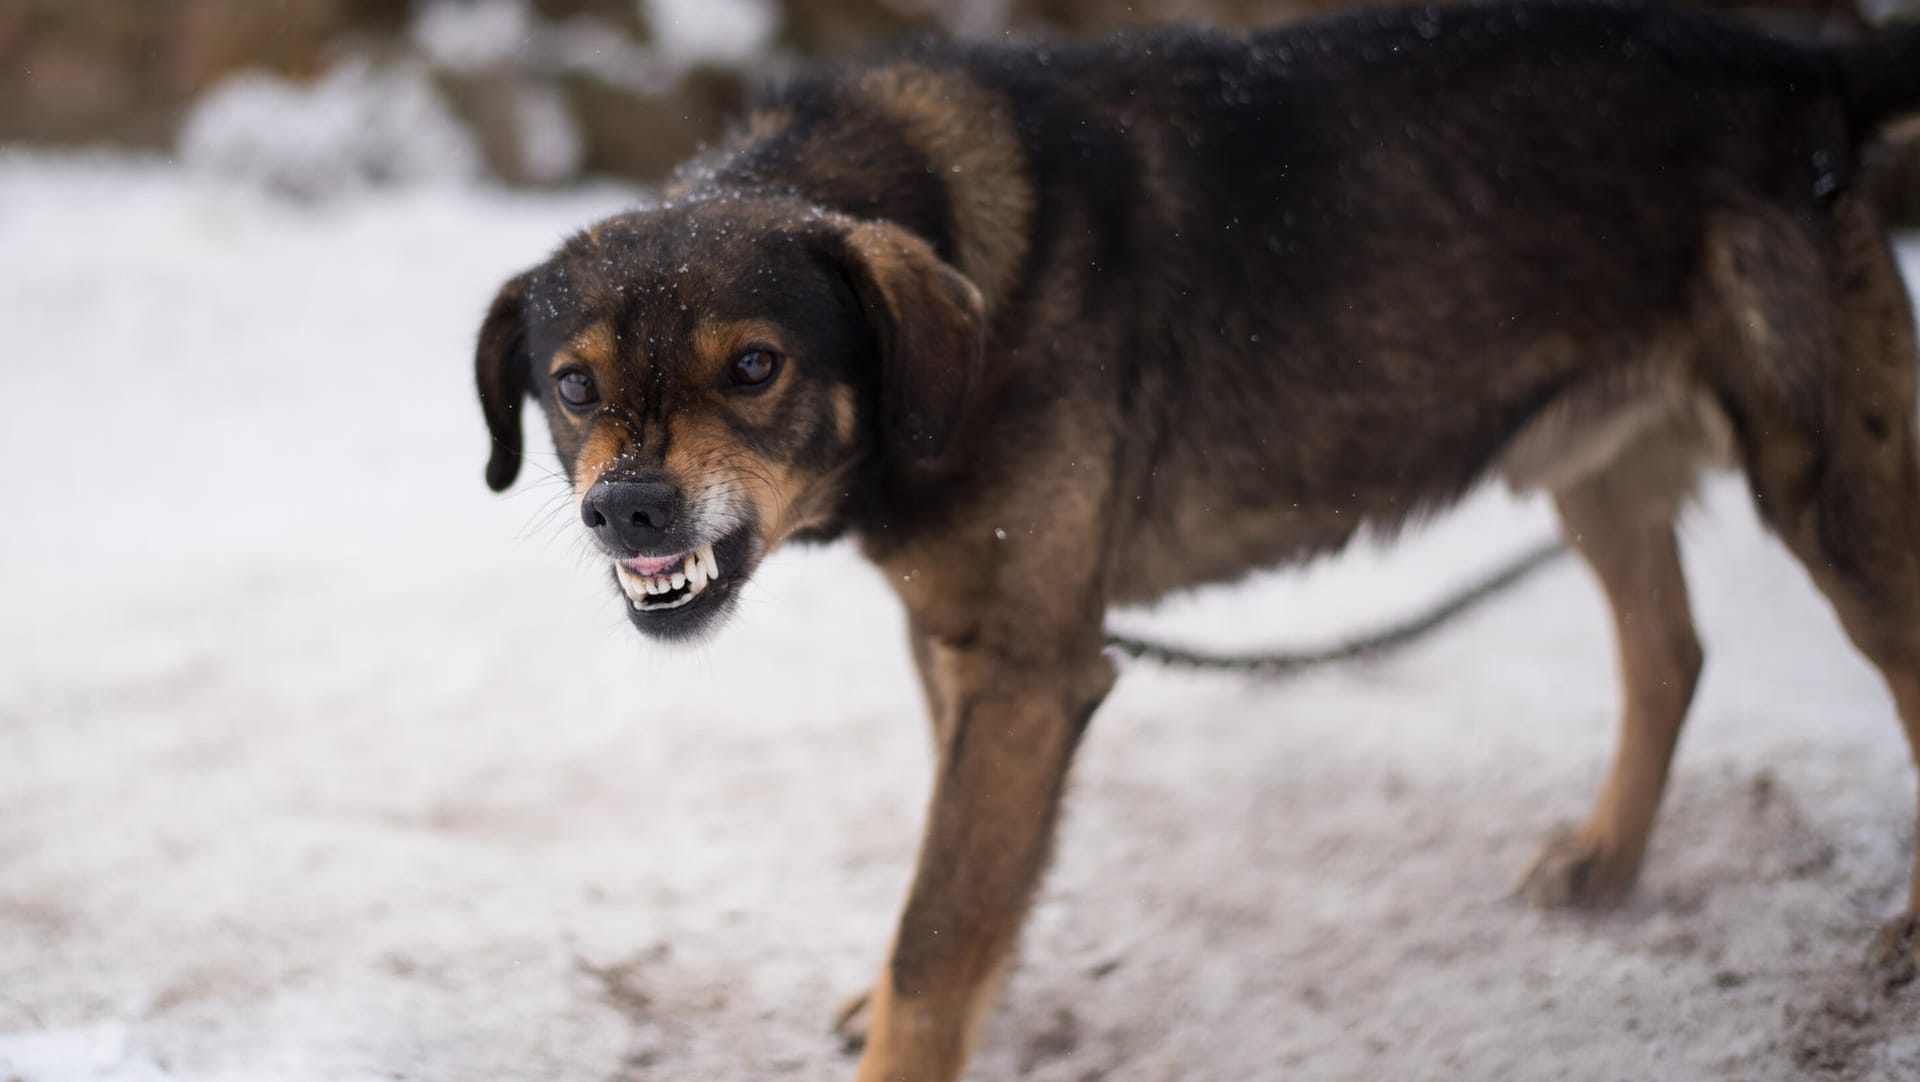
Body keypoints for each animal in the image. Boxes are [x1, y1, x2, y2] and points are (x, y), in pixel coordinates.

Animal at [476, 4, 1920, 1074]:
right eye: (574, 384)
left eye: (756, 366)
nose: (629, 509)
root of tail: (1798, 64)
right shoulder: (965, 649)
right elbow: (969, 893)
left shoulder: (1030, 670)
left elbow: (937, 937)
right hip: (1596, 467)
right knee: (1670, 651)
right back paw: (1608, 858)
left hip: (1833, 491)